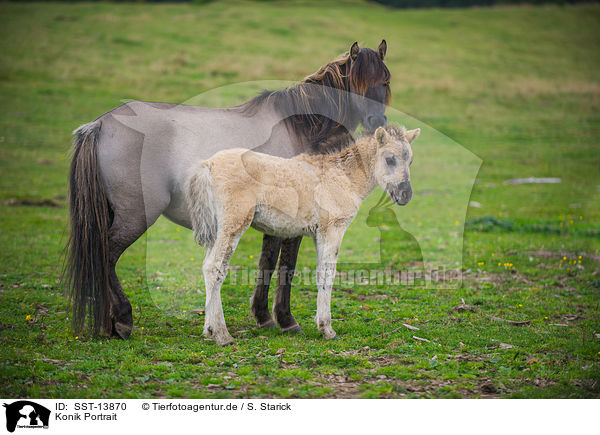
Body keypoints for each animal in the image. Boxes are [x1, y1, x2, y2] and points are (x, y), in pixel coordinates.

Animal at [185, 126, 420, 348]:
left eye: (410, 160)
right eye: (389, 158)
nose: (406, 195)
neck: (343, 177)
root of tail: (209, 164)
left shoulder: (318, 233)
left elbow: (319, 273)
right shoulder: (333, 228)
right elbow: (328, 274)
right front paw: (327, 329)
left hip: (218, 228)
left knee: (207, 266)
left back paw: (209, 330)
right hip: (234, 222)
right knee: (215, 267)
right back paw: (222, 335)